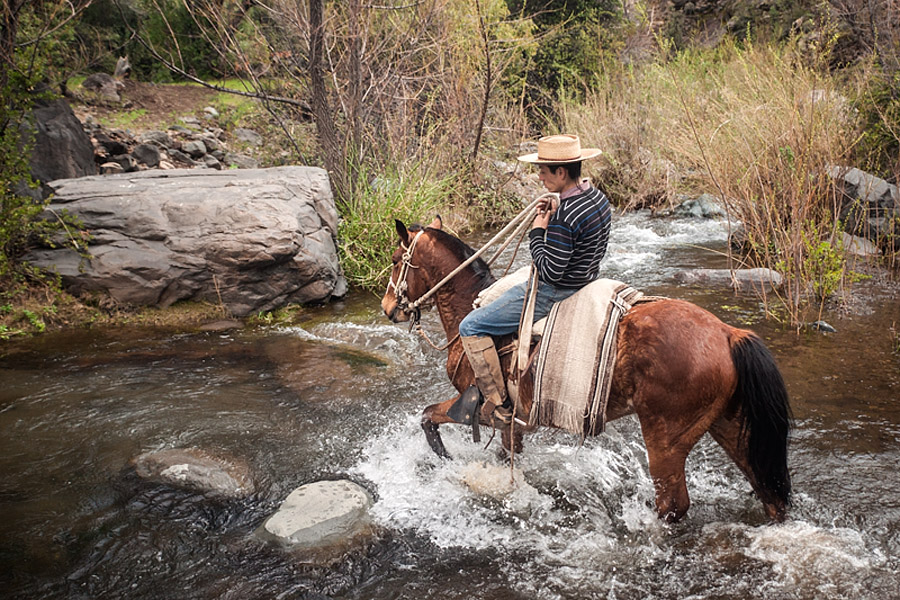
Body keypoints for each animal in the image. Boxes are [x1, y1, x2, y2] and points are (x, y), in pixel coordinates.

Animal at [384, 218, 792, 524]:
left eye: (395, 259)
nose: (389, 308)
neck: (472, 307)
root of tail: (728, 333)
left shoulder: (477, 408)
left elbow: (428, 417)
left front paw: (445, 460)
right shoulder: (513, 424)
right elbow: (502, 455)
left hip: (666, 437)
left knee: (674, 505)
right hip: (730, 427)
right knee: (768, 492)